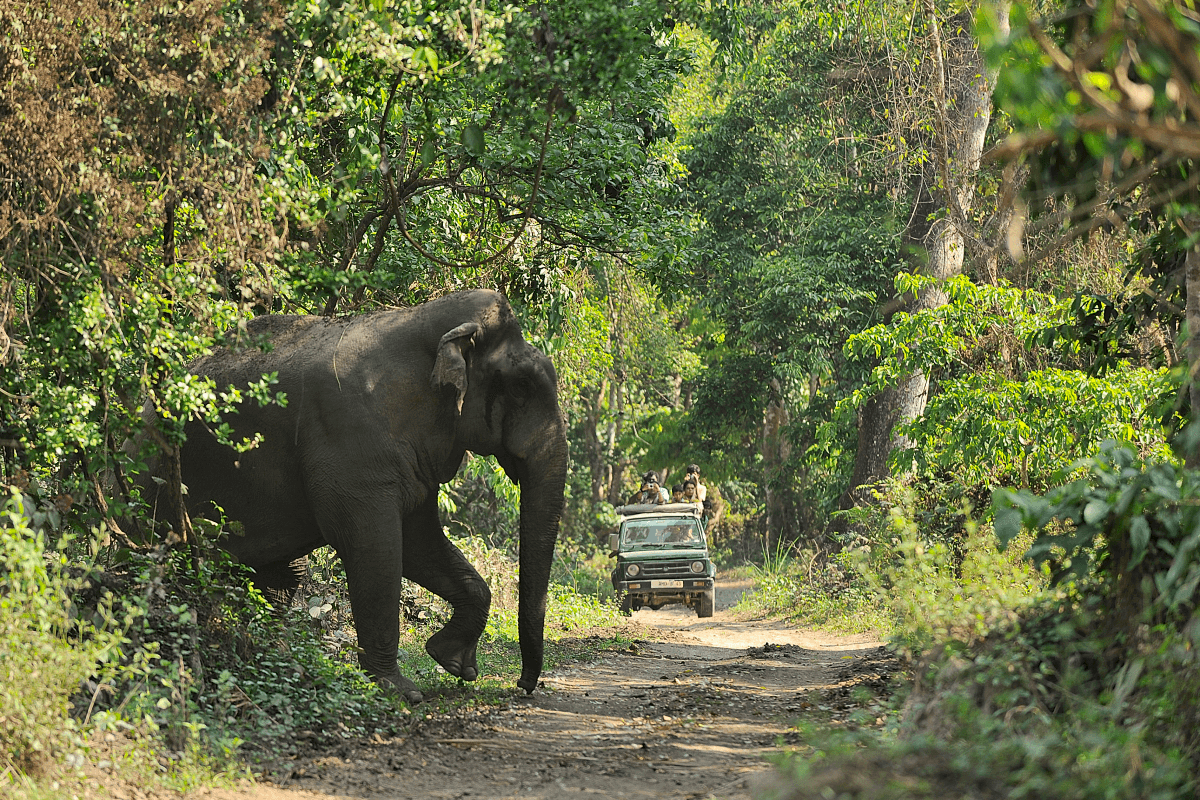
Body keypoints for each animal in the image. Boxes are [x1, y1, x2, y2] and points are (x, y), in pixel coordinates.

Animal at [133, 291, 564, 705]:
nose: (524, 685)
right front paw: (401, 691)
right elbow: (376, 548)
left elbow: (419, 544)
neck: (422, 321)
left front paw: (453, 662)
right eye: (521, 386)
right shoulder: (349, 437)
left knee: (284, 575)